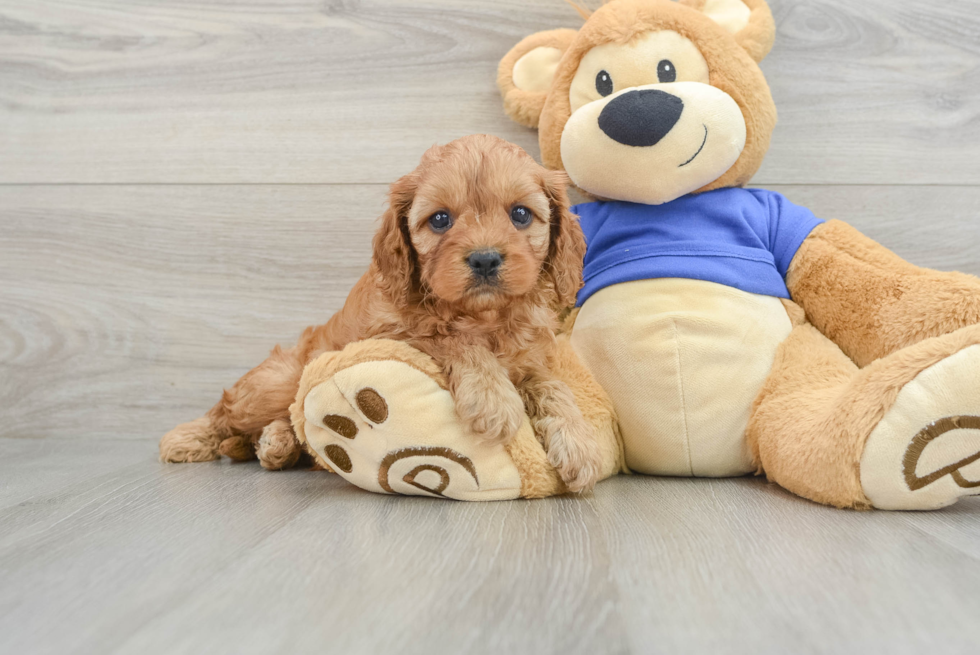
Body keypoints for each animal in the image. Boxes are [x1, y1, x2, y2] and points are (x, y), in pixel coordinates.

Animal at [159, 133, 604, 492]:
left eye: (521, 214)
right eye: (440, 220)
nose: (484, 259)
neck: (483, 315)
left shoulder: (530, 360)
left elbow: (552, 386)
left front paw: (579, 444)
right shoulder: (389, 334)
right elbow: (447, 336)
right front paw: (493, 399)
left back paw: (278, 444)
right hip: (277, 382)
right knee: (227, 410)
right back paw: (186, 439)